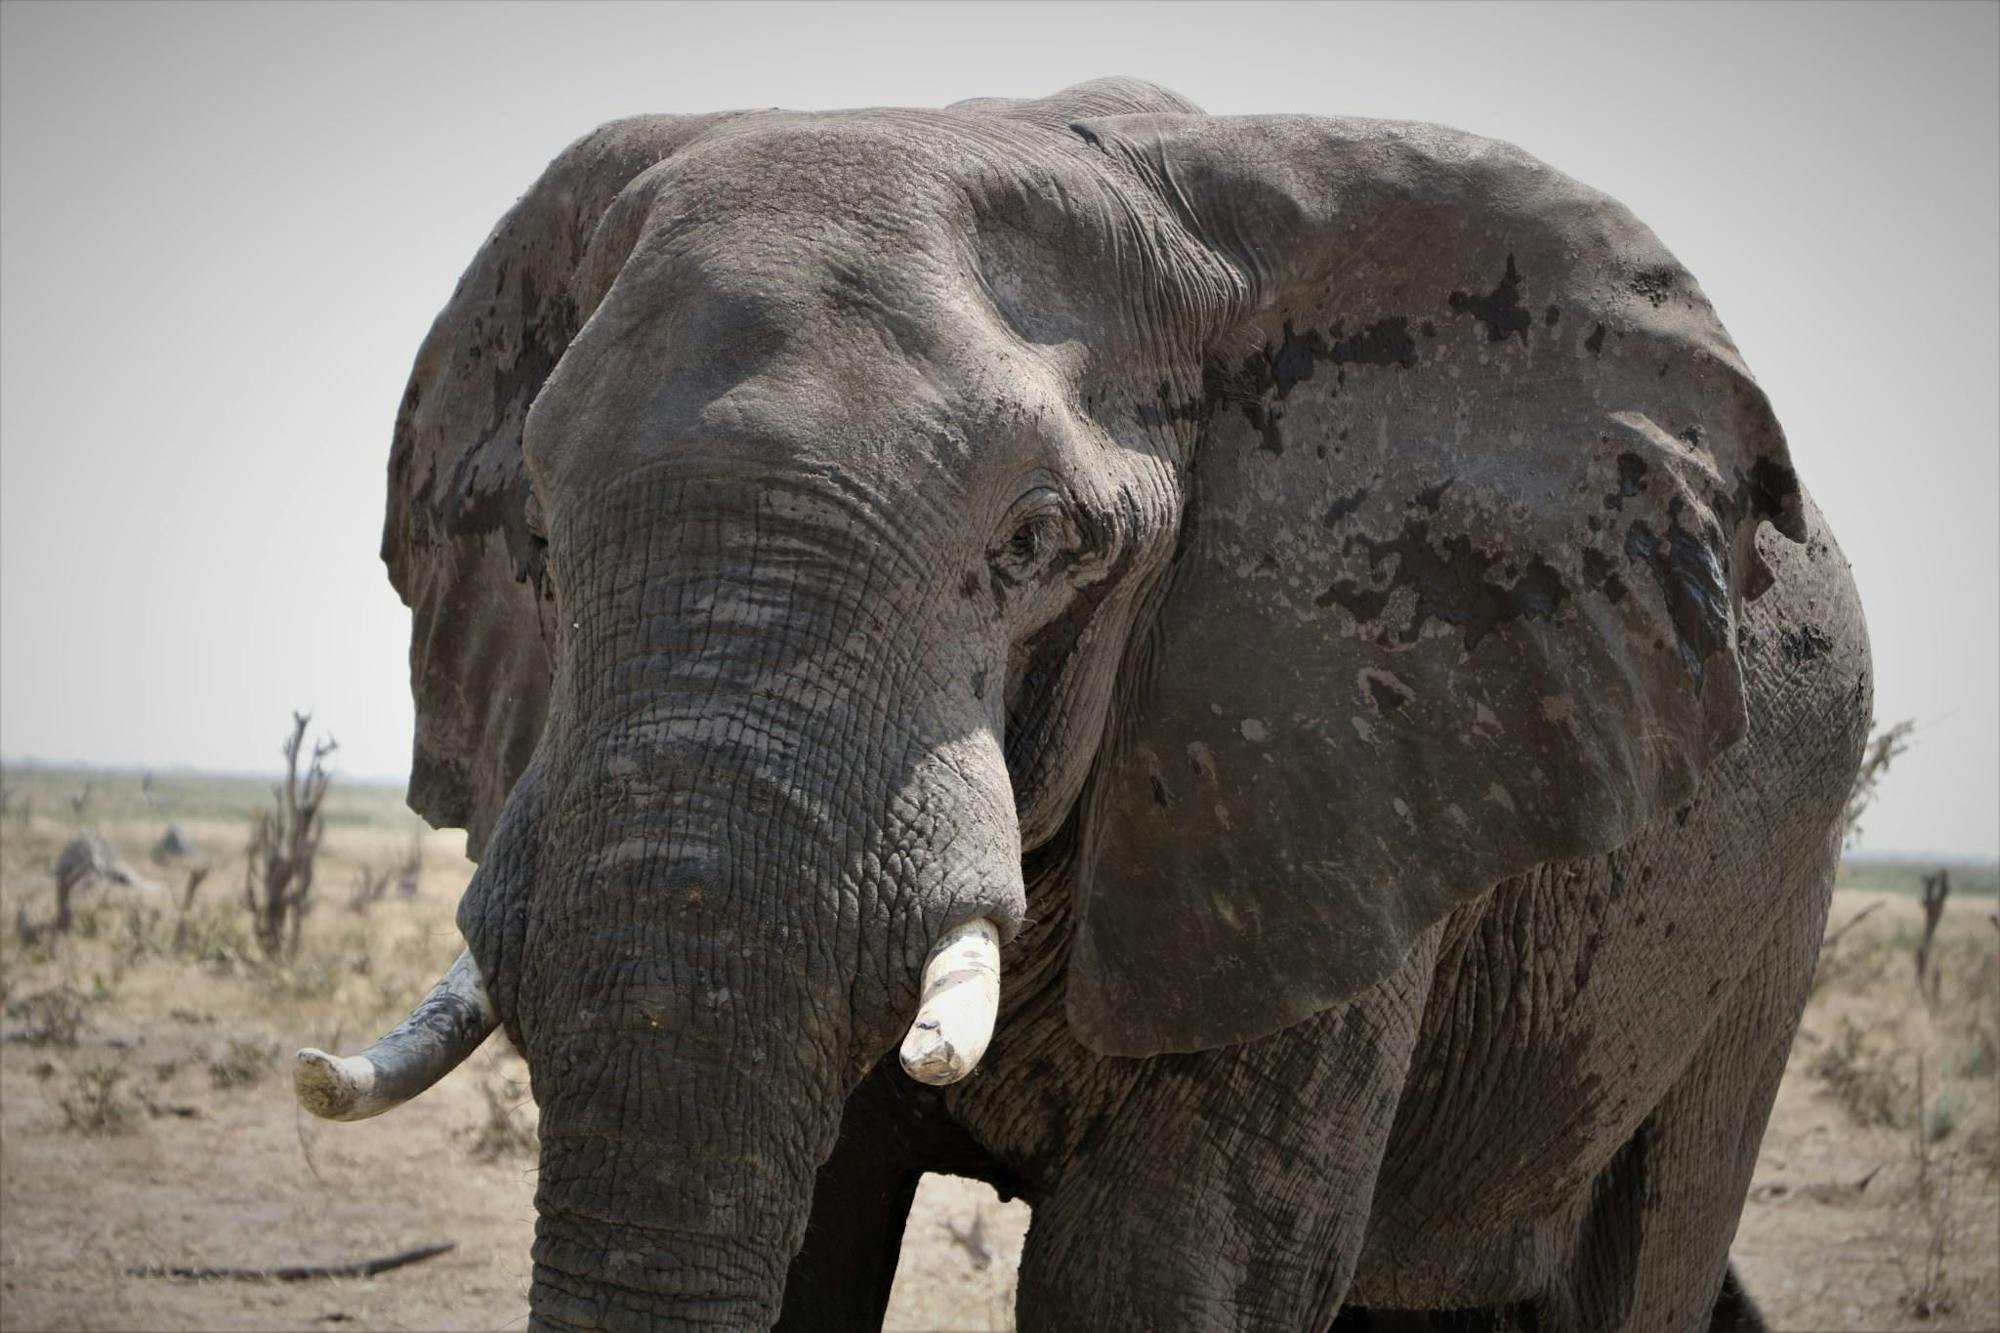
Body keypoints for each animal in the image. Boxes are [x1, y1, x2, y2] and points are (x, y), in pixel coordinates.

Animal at [290, 78, 1864, 1320]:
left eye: (1038, 541)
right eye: (541, 542)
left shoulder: (1325, 771)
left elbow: (1165, 1270)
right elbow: (815, 1238)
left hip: (1765, 919)